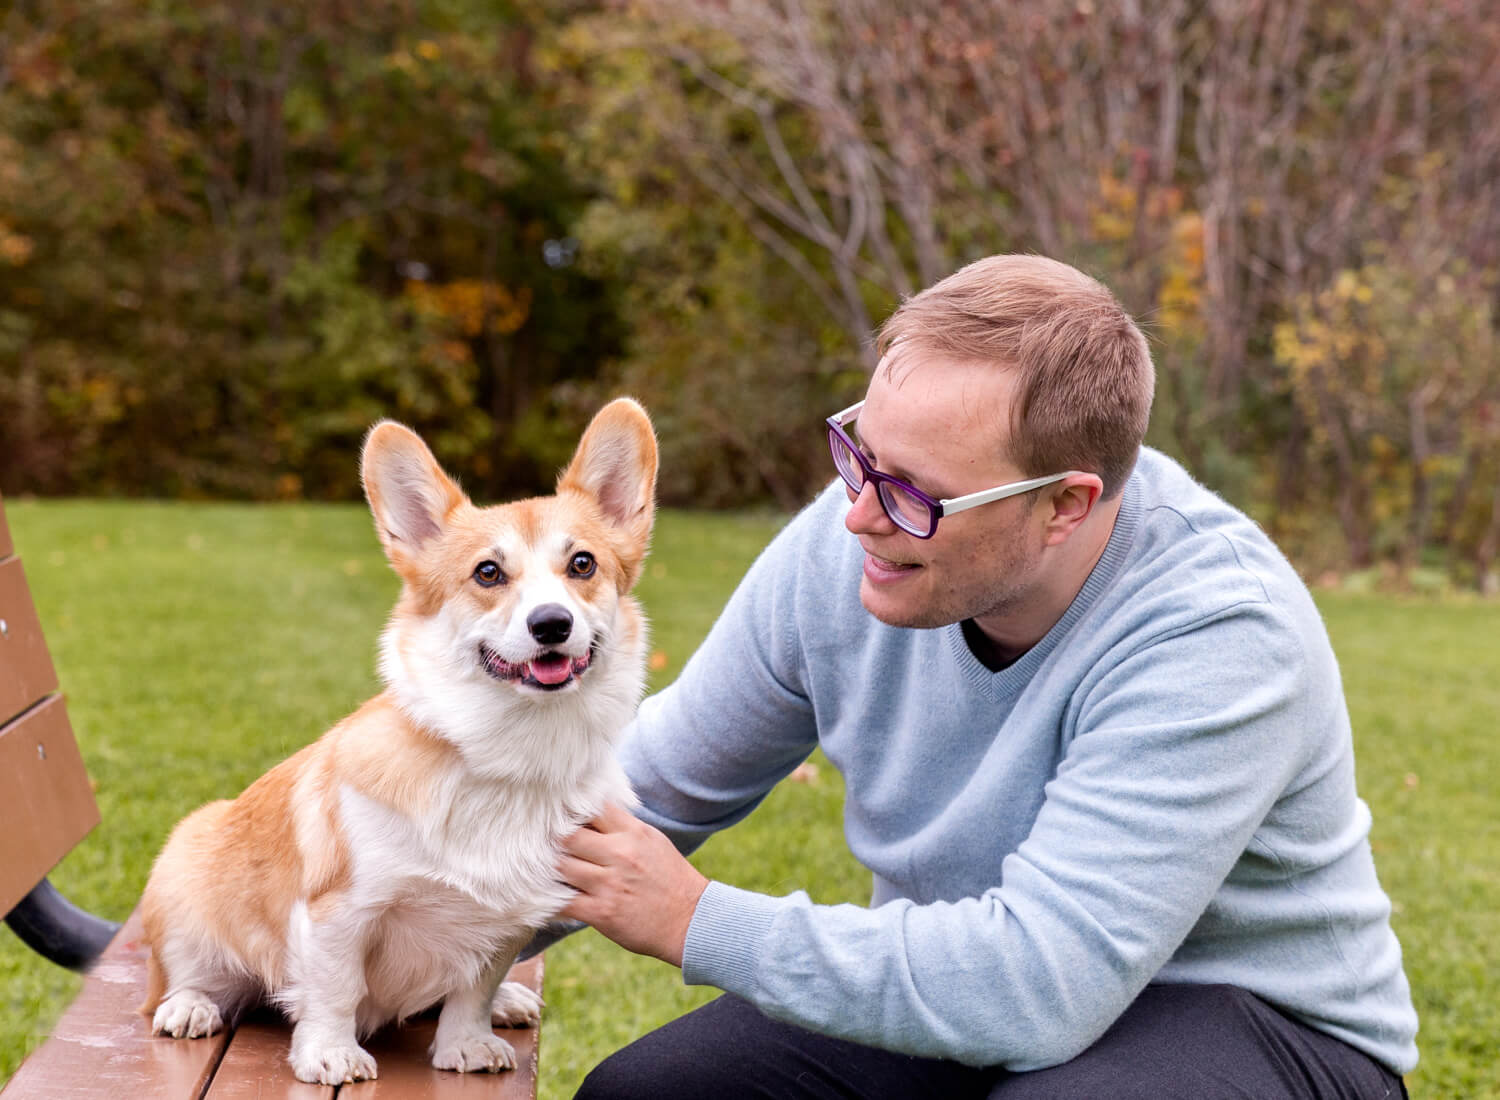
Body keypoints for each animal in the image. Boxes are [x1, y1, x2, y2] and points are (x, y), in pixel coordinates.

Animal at [139, 396, 657, 1080]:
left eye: (582, 565)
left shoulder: (505, 919)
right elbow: (336, 989)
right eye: (487, 573)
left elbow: (473, 988)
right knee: (186, 975)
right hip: (185, 871)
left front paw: (467, 1042)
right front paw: (330, 1054)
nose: (552, 624)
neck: (507, 757)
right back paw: (190, 1005)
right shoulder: (339, 911)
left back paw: (509, 1002)